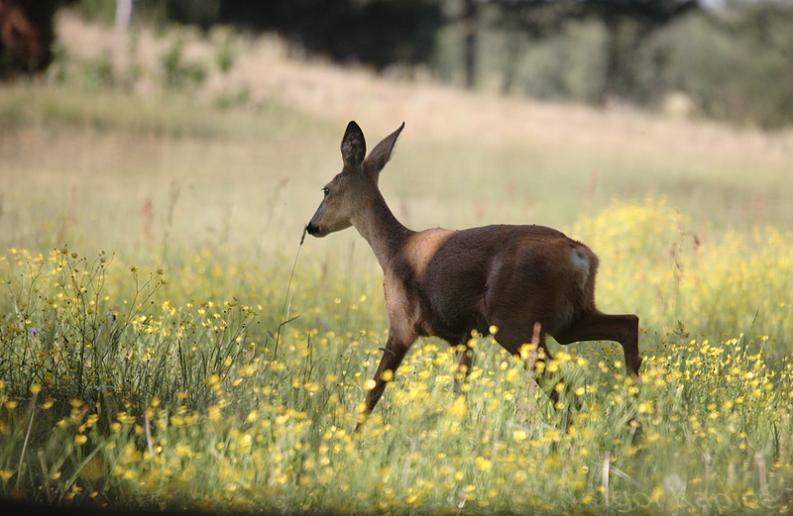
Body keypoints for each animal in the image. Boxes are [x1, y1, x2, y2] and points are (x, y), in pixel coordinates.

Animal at [304, 120, 644, 424]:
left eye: (326, 190)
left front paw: (352, 435)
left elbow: (374, 390)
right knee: (628, 323)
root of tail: (580, 255)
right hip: (570, 317)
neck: (393, 249)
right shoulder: (461, 335)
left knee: (566, 392)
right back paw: (635, 425)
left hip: (515, 320)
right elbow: (460, 394)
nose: (312, 226)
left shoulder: (401, 322)